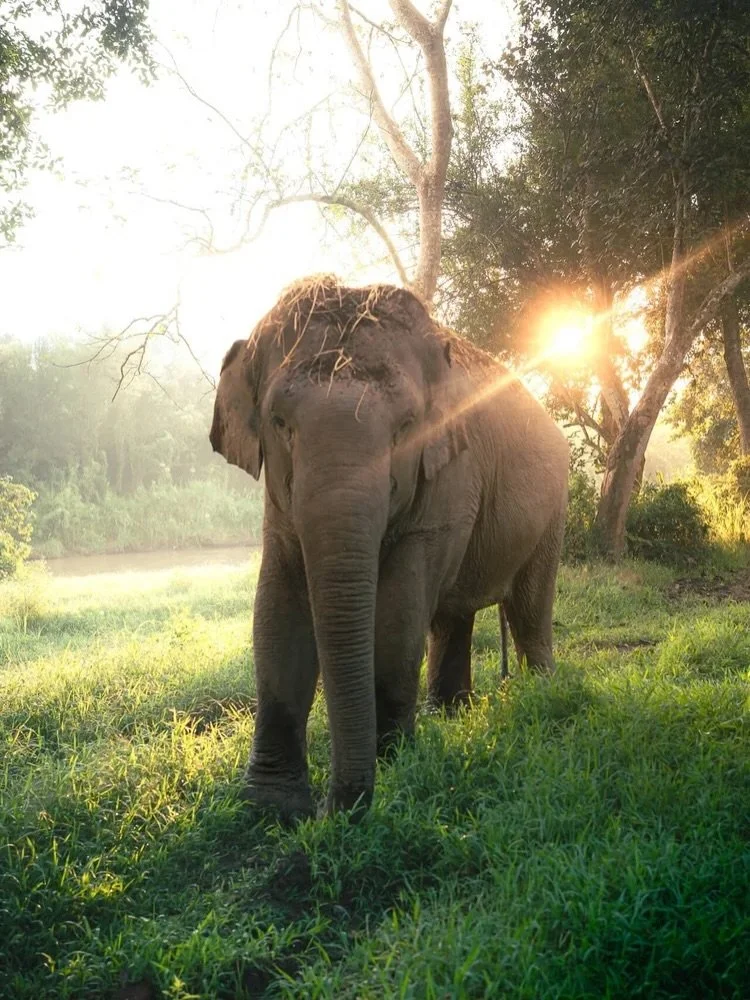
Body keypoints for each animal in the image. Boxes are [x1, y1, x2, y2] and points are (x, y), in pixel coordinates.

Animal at [210, 276, 569, 820]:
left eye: (406, 428)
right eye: (279, 422)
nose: (329, 811)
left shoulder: (449, 475)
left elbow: (399, 616)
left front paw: (396, 763)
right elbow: (275, 613)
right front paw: (270, 807)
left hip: (553, 510)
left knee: (527, 606)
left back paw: (536, 696)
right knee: (453, 615)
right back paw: (451, 715)